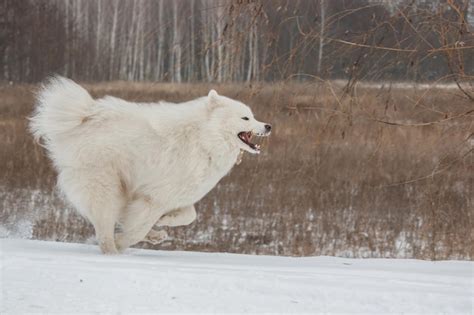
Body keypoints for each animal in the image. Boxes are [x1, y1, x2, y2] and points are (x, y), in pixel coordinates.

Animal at [29, 78, 272, 256]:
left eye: (253, 116)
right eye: (245, 117)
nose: (268, 126)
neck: (205, 140)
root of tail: (82, 120)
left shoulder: (177, 193)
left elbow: (189, 215)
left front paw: (164, 222)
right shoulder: (155, 197)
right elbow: (138, 227)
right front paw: (124, 241)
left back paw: (155, 235)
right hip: (105, 184)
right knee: (105, 225)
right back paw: (113, 251)